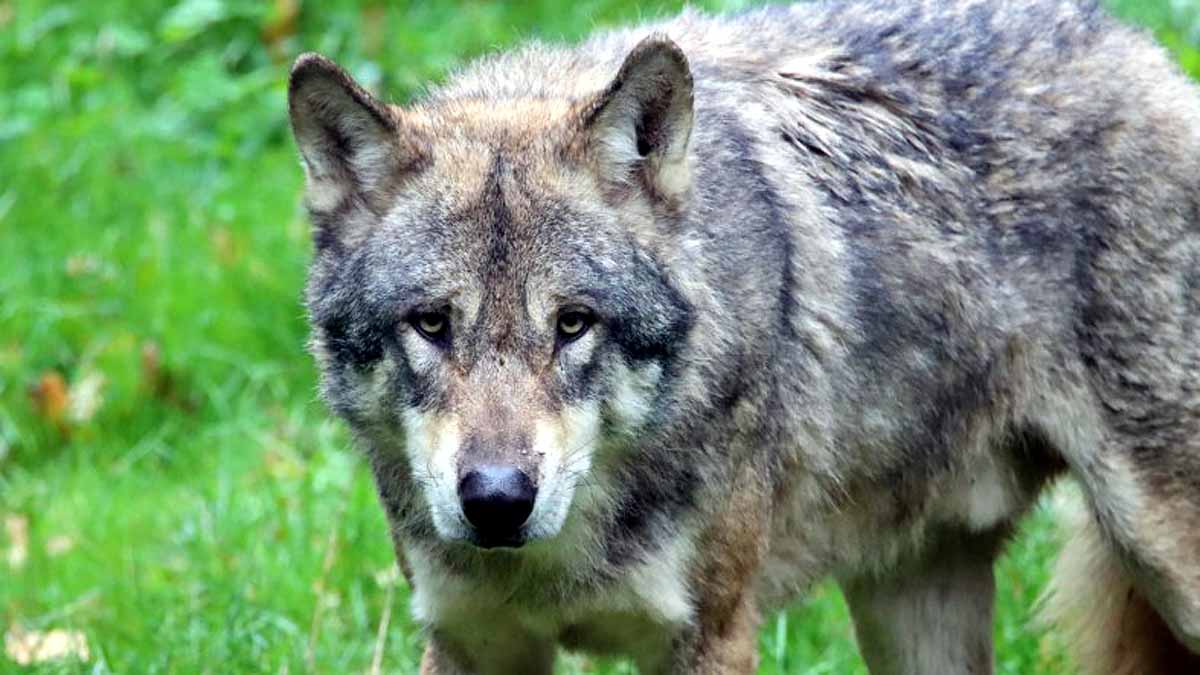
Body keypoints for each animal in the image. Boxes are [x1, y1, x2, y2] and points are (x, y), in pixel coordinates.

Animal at [286, 0, 1200, 672]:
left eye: (573, 323)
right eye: (432, 323)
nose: (499, 499)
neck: (563, 560)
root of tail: (1135, 46)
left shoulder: (715, 633)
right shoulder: (475, 641)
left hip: (1163, 557)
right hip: (911, 600)